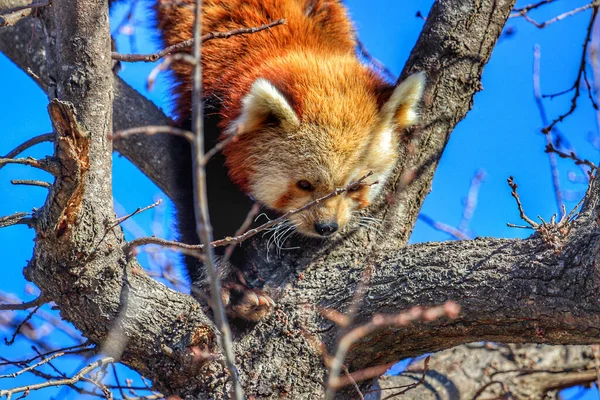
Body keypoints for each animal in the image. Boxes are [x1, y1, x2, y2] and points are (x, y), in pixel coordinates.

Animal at [157, 0, 424, 318]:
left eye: (354, 187)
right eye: (304, 185)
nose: (326, 227)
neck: (298, 43)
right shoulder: (207, 121)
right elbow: (203, 206)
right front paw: (229, 286)